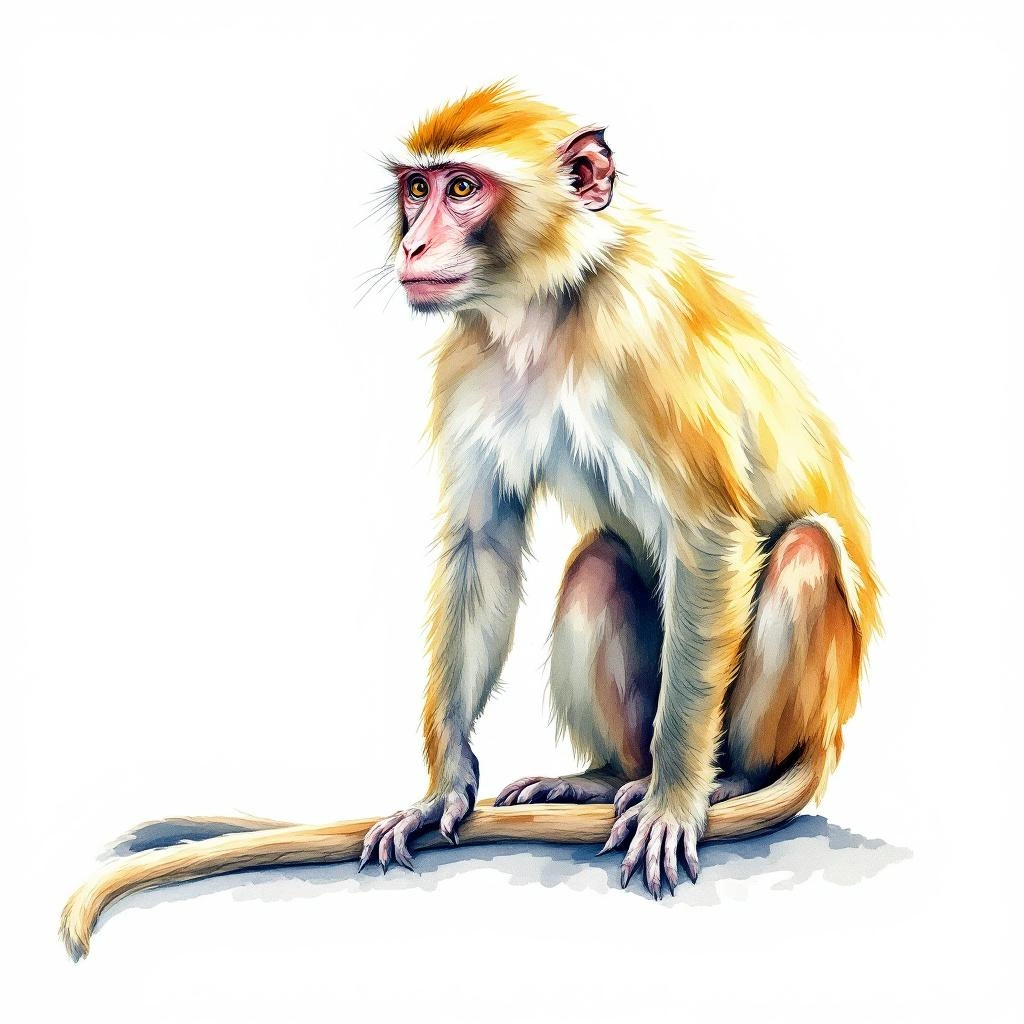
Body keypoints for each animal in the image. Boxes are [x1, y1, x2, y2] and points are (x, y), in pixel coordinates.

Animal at [59, 83, 879, 960]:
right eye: (417, 190)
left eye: (462, 189)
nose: (415, 243)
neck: (552, 304)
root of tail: (825, 741)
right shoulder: (469, 356)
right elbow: (482, 543)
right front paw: (443, 789)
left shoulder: (646, 334)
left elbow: (711, 536)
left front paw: (676, 801)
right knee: (598, 560)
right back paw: (602, 776)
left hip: (806, 704)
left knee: (803, 551)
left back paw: (725, 779)